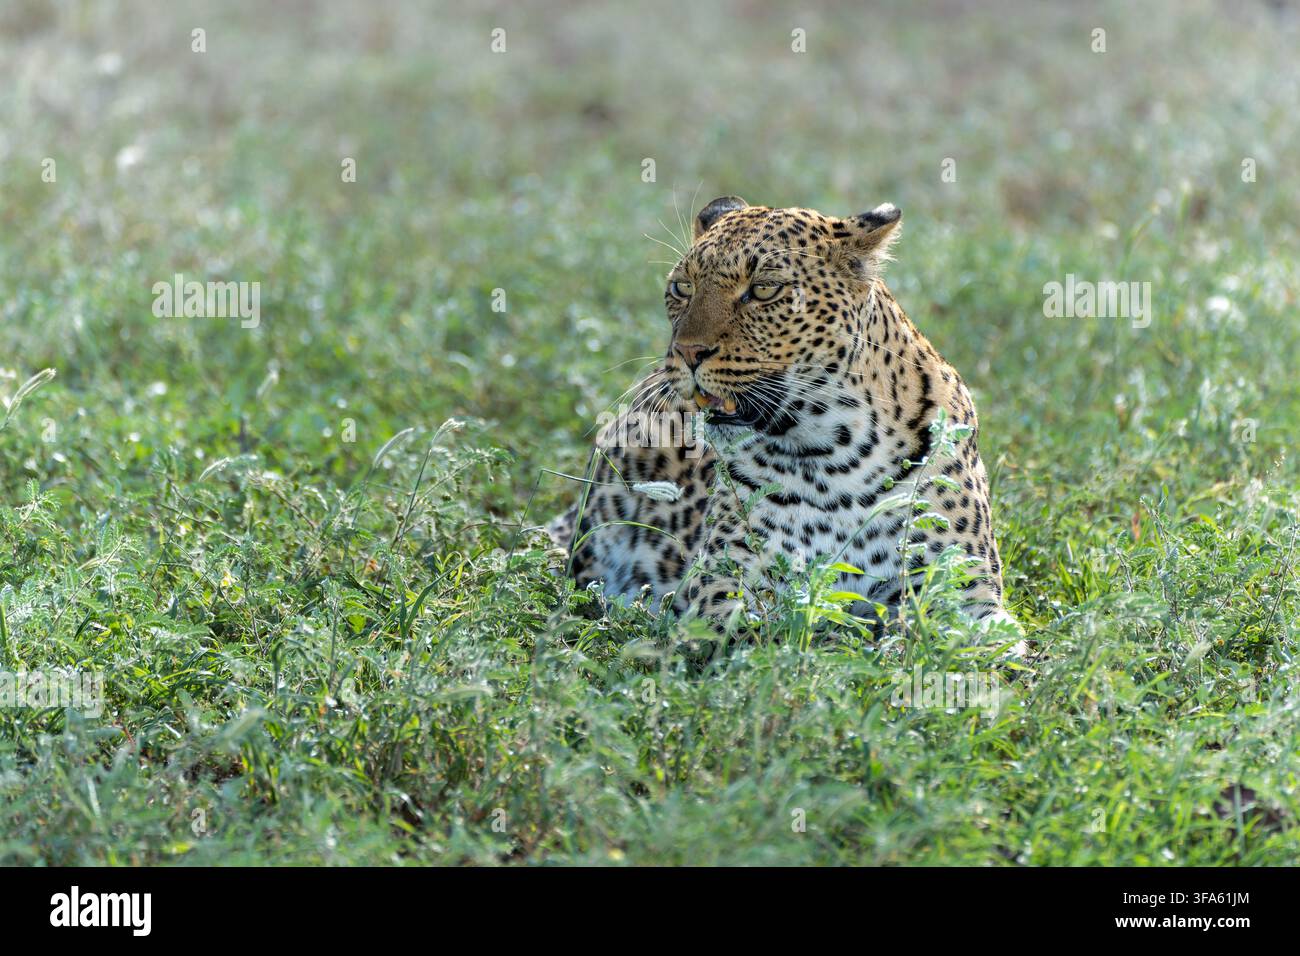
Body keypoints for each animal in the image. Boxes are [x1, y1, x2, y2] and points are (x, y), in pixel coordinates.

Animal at [548, 196, 1014, 639]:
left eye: (764, 290)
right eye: (682, 286)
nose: (687, 351)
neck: (836, 454)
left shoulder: (968, 594)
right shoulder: (725, 585)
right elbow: (790, 633)